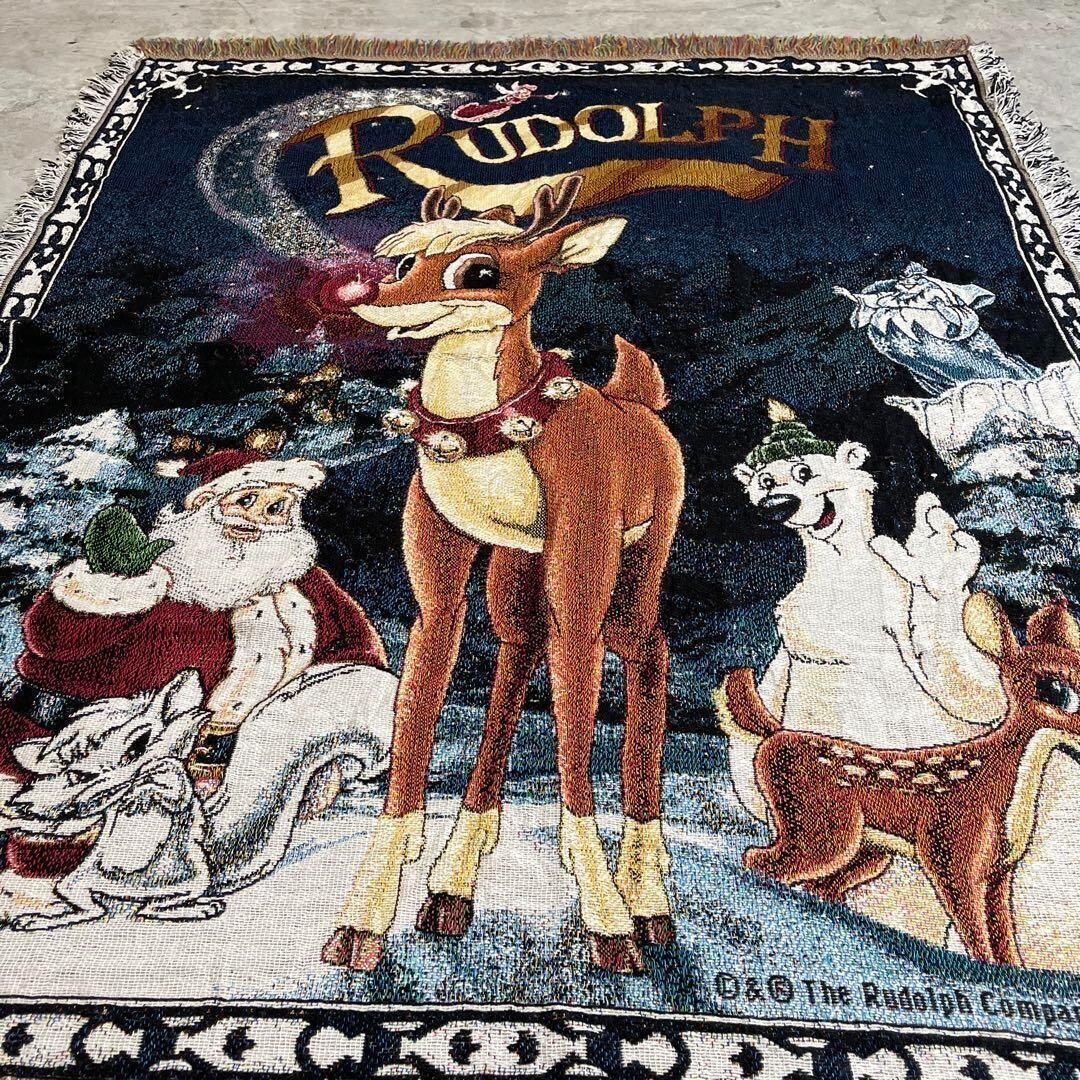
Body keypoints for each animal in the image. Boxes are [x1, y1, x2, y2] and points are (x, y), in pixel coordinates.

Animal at [319, 176, 685, 975]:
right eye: (405, 263)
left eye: (479, 270)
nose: (370, 296)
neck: (491, 433)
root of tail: (639, 401)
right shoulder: (439, 593)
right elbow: (416, 720)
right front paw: (363, 920)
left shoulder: (580, 600)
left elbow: (575, 745)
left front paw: (608, 923)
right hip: (516, 575)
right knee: (516, 659)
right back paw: (452, 889)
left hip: (632, 573)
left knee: (647, 651)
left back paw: (648, 902)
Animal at [719, 591, 1080, 967]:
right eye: (1056, 690)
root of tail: (775, 735)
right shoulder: (949, 851)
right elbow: (973, 927)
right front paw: (982, 965)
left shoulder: (999, 873)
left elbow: (1003, 932)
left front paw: (1014, 967)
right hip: (822, 828)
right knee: (762, 860)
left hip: (867, 849)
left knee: (820, 883)